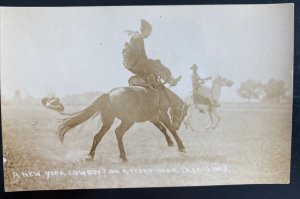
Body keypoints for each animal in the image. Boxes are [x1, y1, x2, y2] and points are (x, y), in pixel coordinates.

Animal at [57, 84, 188, 162]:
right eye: (184, 113)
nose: (178, 126)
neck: (165, 95)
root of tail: (109, 95)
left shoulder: (154, 119)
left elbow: (163, 129)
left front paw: (170, 143)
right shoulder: (163, 115)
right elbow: (170, 129)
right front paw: (181, 147)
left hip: (109, 121)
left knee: (98, 136)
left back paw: (90, 156)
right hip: (128, 120)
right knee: (118, 132)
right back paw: (123, 156)